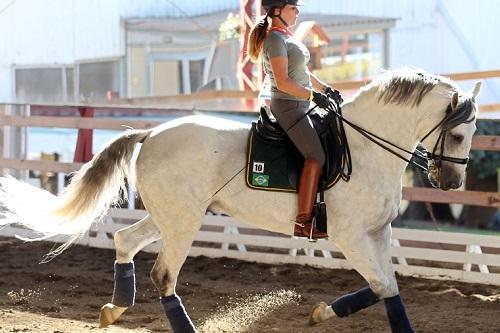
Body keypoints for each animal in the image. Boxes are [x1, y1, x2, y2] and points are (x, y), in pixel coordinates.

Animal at [1, 68, 482, 330]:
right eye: (459, 134)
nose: (452, 181)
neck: (365, 147)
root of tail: (151, 133)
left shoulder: (378, 233)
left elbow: (388, 286)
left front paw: (321, 313)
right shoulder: (350, 235)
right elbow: (383, 286)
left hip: (171, 215)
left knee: (124, 243)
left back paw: (114, 310)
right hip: (183, 222)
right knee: (163, 274)